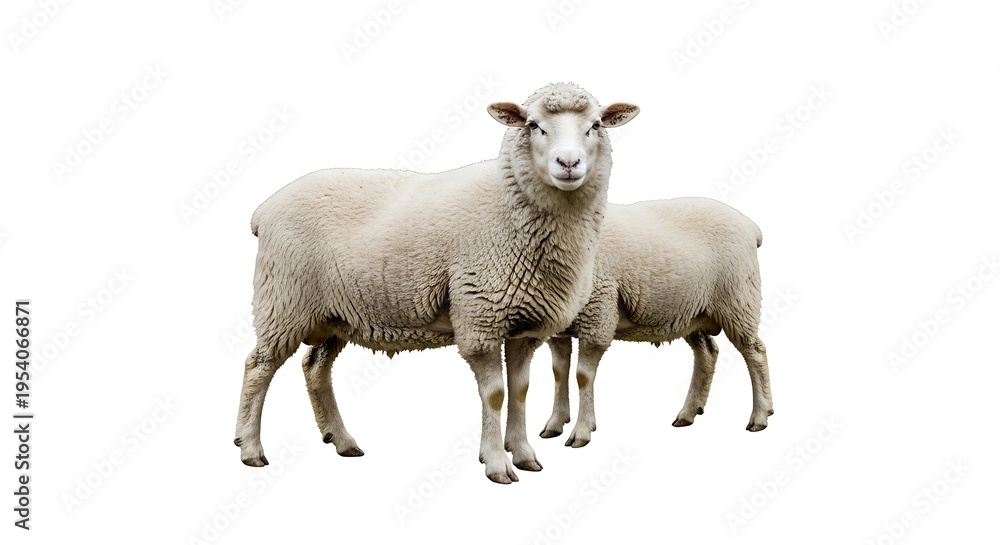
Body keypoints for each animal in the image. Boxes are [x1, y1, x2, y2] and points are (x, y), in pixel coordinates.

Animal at [232, 82, 640, 484]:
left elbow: (520, 391)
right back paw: (250, 449)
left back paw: (343, 441)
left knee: (314, 368)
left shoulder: (523, 325)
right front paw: (497, 464)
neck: (510, 207)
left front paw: (524, 454)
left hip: (335, 312)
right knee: (258, 366)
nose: (568, 163)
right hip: (283, 300)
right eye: (533, 125)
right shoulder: (479, 317)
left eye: (596, 126)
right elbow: (495, 394)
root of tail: (263, 211)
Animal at [522, 197, 772, 448]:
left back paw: (760, 416)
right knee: (707, 352)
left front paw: (581, 431)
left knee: (755, 352)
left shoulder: (598, 314)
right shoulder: (559, 330)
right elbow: (558, 373)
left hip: (738, 300)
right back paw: (688, 413)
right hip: (692, 312)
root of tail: (751, 227)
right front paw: (554, 423)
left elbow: (583, 376)